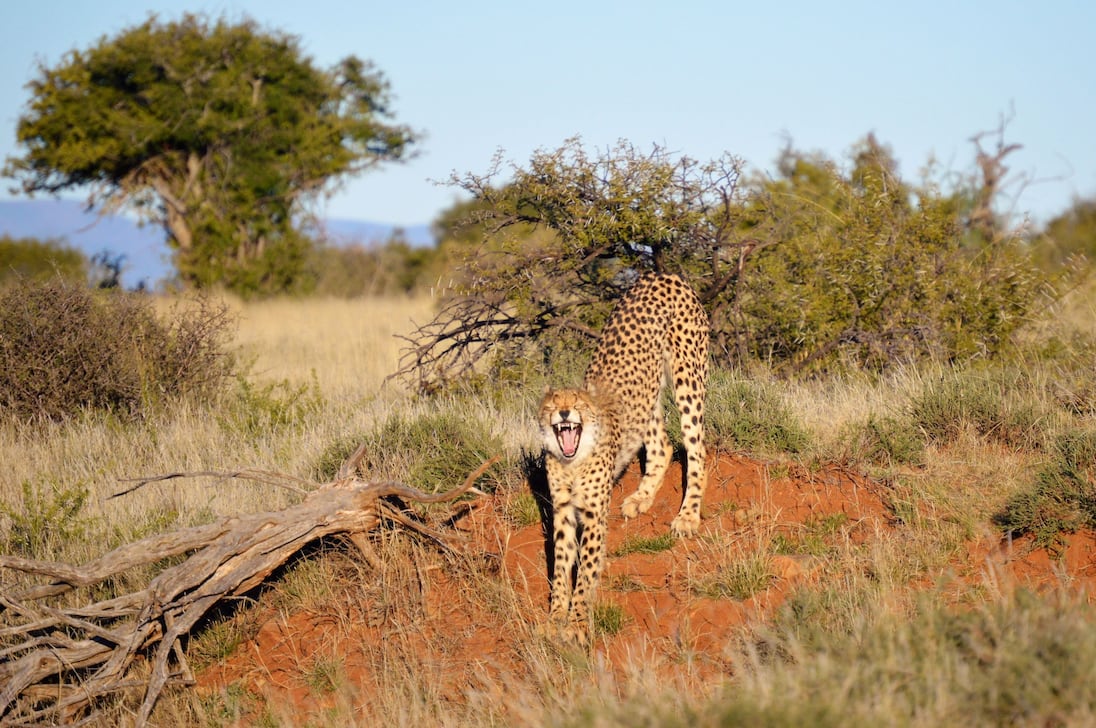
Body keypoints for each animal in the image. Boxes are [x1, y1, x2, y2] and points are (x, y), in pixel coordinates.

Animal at [538, 272, 709, 647]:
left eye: (578, 403)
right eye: (551, 405)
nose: (563, 412)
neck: (573, 459)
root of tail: (663, 275)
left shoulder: (593, 513)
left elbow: (586, 569)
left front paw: (576, 623)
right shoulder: (562, 511)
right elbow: (561, 565)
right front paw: (555, 617)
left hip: (687, 376)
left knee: (696, 447)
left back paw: (688, 516)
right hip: (648, 394)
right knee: (661, 445)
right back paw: (642, 497)